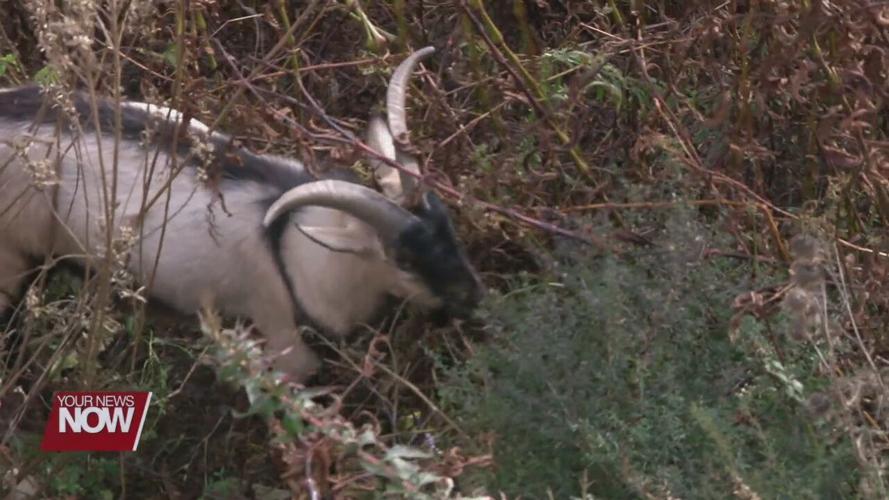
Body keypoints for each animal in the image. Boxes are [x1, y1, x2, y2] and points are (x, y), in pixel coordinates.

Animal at [0, 47, 482, 381]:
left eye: (448, 225)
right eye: (403, 259)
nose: (474, 298)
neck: (291, 244)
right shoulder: (283, 336)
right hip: (11, 256)